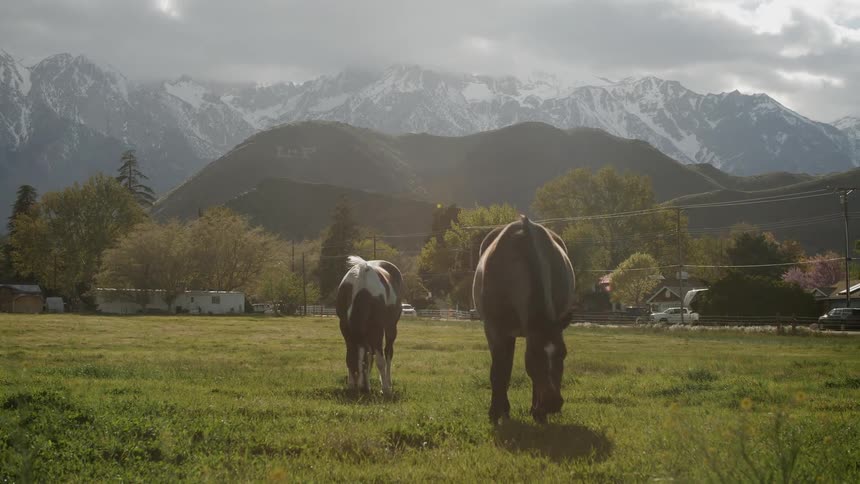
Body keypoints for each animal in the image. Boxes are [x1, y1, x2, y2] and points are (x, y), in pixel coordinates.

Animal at [335, 256, 403, 395]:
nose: (361, 388)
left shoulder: (376, 328)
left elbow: (380, 360)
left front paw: (385, 389)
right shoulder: (345, 328)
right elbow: (351, 357)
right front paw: (352, 385)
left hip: (390, 326)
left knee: (388, 353)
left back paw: (388, 383)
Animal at [472, 215, 575, 423]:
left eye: (563, 353)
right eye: (534, 356)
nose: (552, 403)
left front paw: (538, 412)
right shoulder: (494, 330)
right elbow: (498, 371)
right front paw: (495, 412)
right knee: (504, 367)